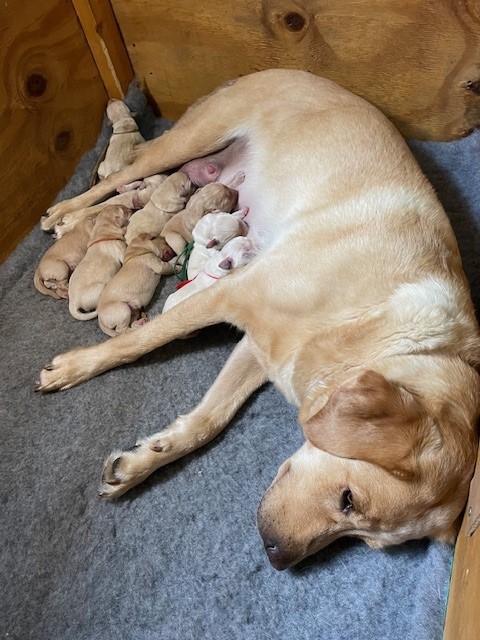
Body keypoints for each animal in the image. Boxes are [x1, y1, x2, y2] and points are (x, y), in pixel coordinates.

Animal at [36, 70, 480, 568]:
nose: (278, 557)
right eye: (349, 499)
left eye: (368, 541)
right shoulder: (232, 293)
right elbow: (140, 342)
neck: (373, 329)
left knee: (134, 190)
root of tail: (282, 70)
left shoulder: (261, 348)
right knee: (117, 177)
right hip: (192, 137)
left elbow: (208, 421)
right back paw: (64, 210)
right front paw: (75, 367)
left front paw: (143, 461)